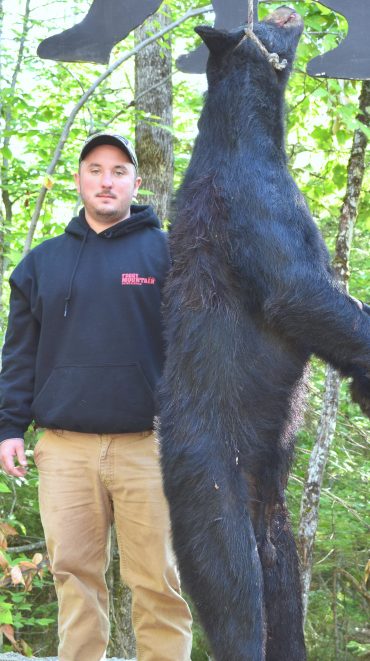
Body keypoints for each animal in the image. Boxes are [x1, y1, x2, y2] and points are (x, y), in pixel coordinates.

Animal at [160, 6, 370, 660]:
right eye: (264, 23)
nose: (283, 9)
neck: (256, 134)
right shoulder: (256, 204)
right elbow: (298, 291)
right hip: (209, 486)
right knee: (234, 595)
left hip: (273, 518)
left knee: (282, 593)